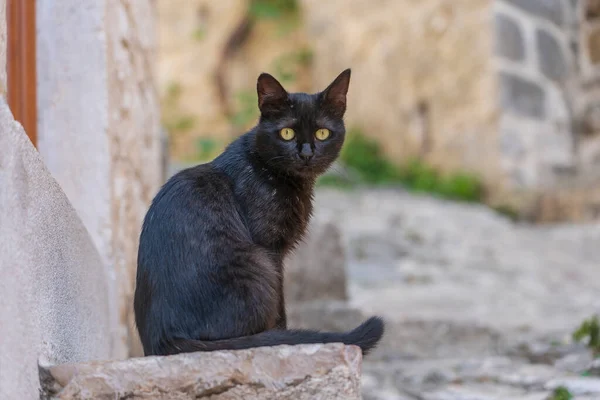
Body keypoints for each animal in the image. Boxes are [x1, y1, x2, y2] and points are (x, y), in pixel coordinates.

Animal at [135, 69, 384, 356]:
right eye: (286, 133)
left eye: (322, 133)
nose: (306, 153)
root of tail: (166, 338)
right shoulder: (271, 247)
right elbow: (280, 302)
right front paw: (283, 335)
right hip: (257, 263)